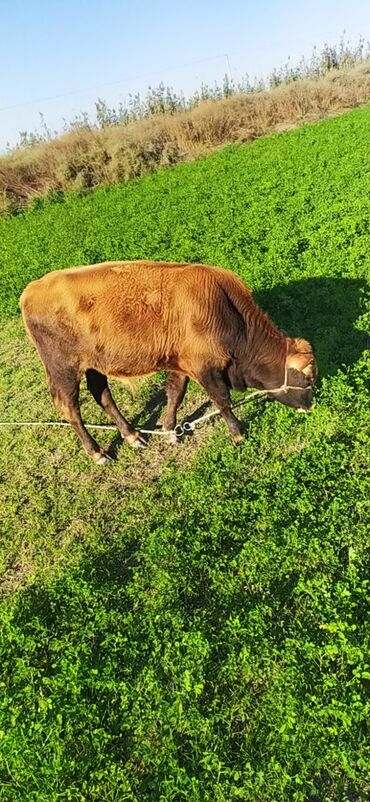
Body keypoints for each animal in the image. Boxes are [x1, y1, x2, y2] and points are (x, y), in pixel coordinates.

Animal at [18, 262, 316, 462]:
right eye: (308, 378)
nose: (311, 406)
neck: (225, 310)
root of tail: (32, 290)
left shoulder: (182, 363)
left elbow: (175, 394)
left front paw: (171, 429)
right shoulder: (206, 368)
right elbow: (222, 401)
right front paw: (238, 434)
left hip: (94, 365)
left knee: (102, 395)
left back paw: (132, 435)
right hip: (64, 370)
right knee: (70, 408)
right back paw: (97, 452)